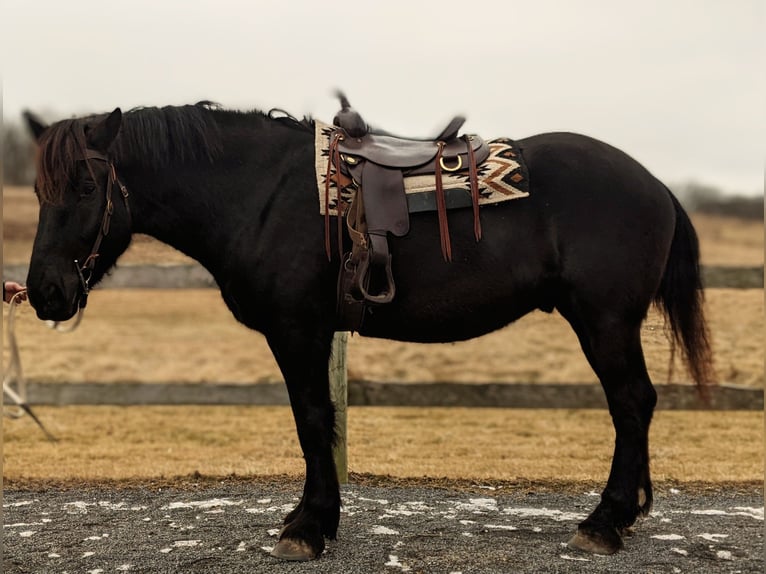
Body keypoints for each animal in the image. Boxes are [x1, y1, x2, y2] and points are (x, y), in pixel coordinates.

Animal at [24, 102, 712, 564]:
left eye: (85, 186)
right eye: (37, 190)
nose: (44, 292)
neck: (260, 193)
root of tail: (654, 184)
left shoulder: (297, 329)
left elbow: (311, 420)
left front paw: (309, 528)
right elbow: (319, 422)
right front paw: (312, 518)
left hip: (605, 320)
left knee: (631, 403)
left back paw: (605, 521)